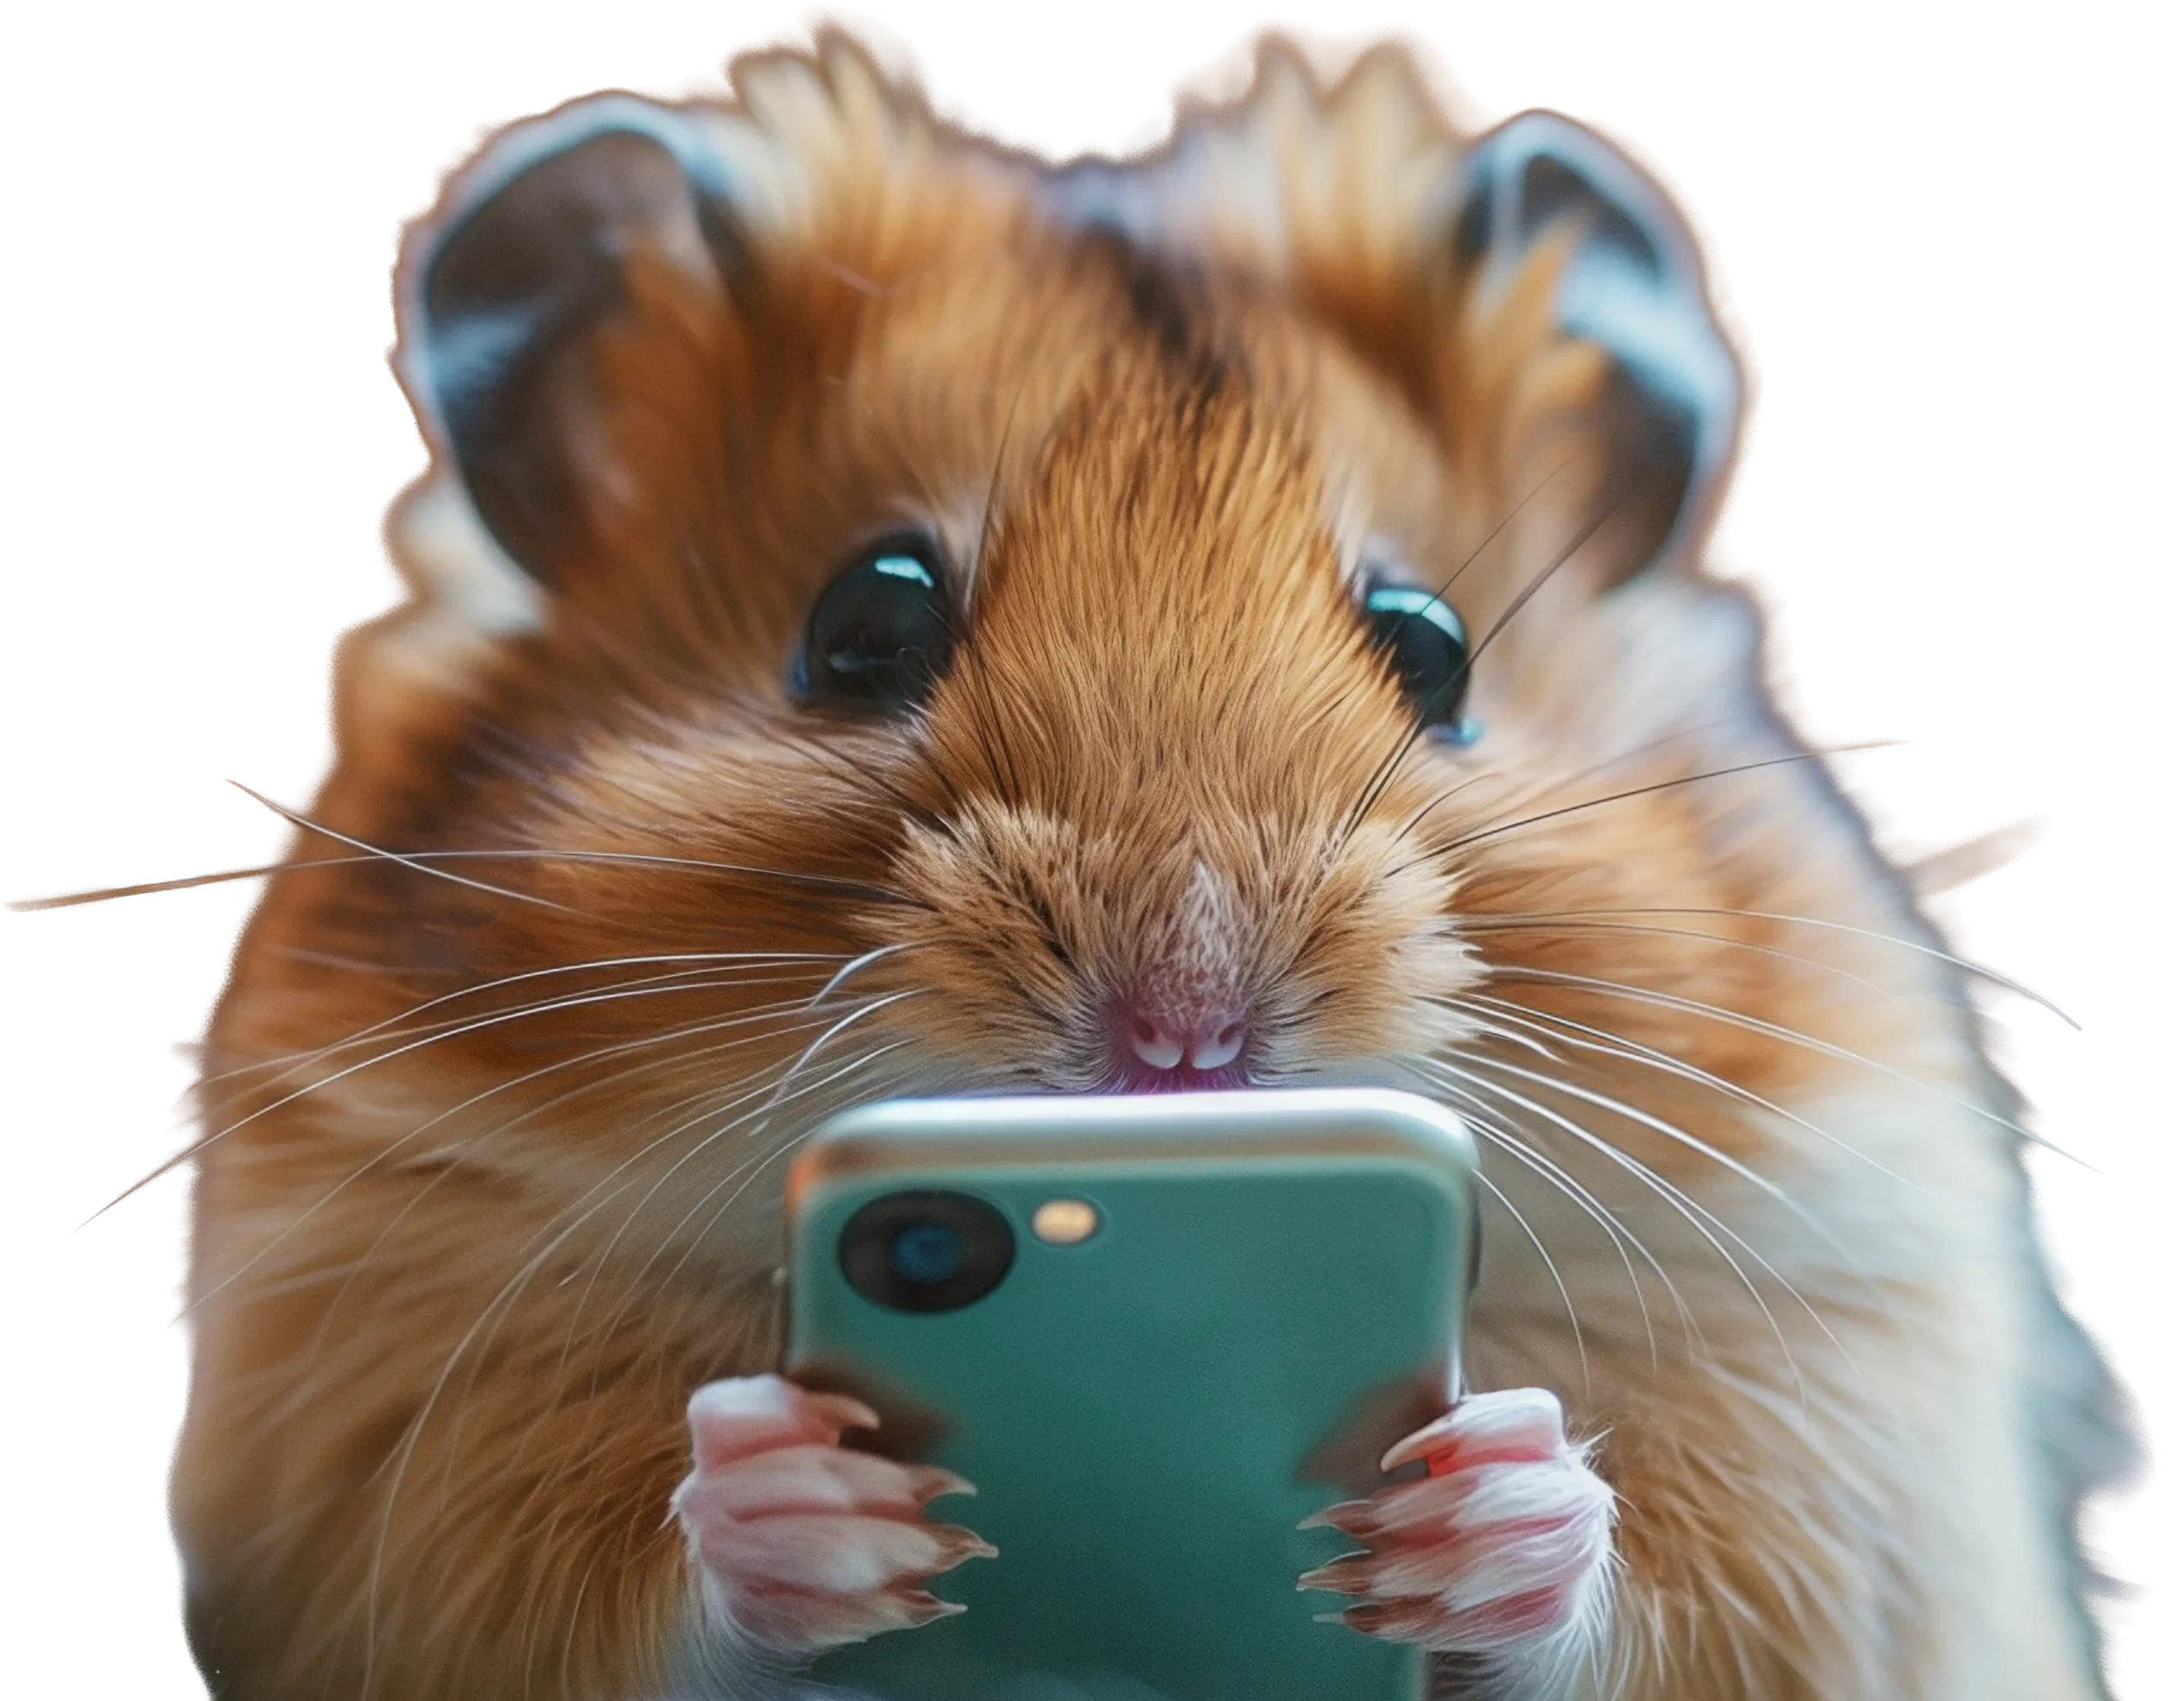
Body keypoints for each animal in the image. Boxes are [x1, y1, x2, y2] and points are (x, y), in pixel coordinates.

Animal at [46, 7, 2145, 1700]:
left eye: (1432, 650)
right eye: (865, 622)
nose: (1181, 1025)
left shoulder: (1835, 1428)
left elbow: (1663, 1593)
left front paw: (1493, 1506)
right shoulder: (383, 1430)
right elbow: (610, 1576)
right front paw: (810, 1503)